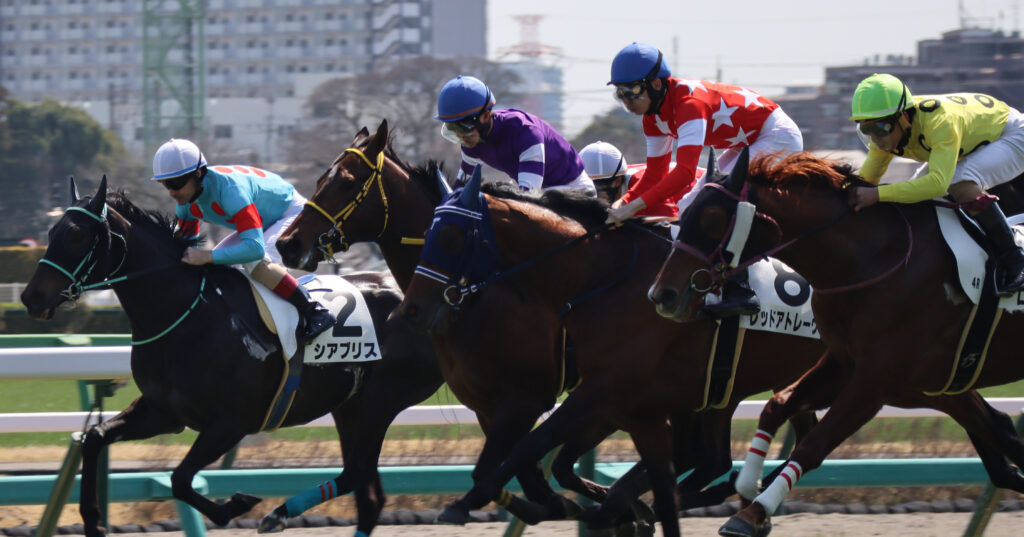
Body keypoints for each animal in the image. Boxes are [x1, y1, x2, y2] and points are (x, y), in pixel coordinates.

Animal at [19, 177, 443, 537]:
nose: (31, 297)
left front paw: (236, 504)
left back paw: (279, 513)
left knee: (357, 472)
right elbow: (93, 438)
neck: (186, 314)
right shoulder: (163, 412)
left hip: (382, 399)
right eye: (50, 233)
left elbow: (179, 479)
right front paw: (93, 521)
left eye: (76, 235)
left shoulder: (230, 423)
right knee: (368, 495)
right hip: (350, 405)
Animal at [648, 150, 1024, 537]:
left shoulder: (877, 381)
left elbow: (813, 445)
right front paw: (749, 486)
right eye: (683, 214)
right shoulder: (844, 362)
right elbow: (777, 406)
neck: (870, 260)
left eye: (713, 219)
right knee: (1000, 429)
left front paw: (751, 513)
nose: (663, 295)